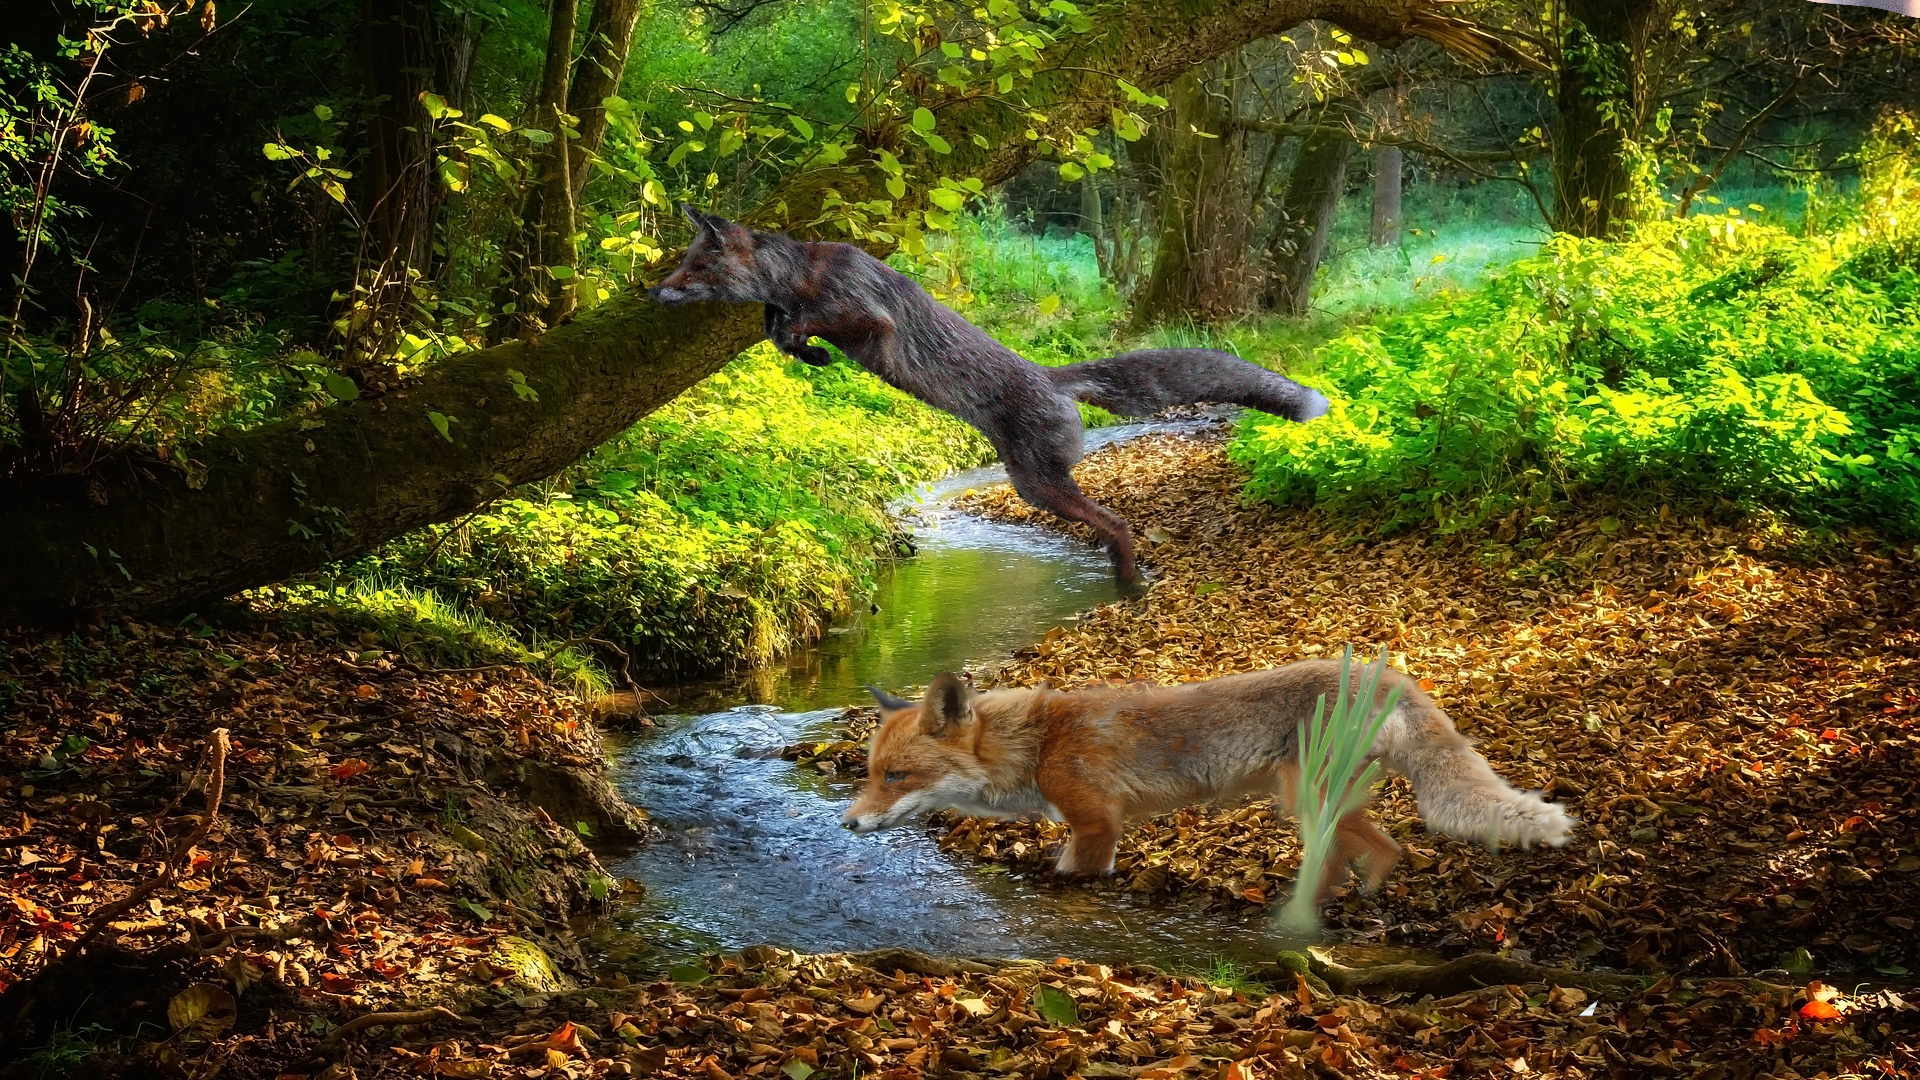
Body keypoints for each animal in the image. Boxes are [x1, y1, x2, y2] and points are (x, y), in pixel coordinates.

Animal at [650, 204, 1332, 588]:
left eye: (695, 268)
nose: (655, 293)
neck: (801, 276)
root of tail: (1052, 376)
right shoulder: (792, 310)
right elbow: (777, 328)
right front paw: (803, 351)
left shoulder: (866, 315)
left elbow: (806, 322)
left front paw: (806, 343)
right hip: (1034, 484)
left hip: (1041, 484)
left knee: (1115, 521)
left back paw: (1129, 577)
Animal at [841, 663, 1575, 900]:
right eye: (869, 774)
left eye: (896, 776)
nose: (846, 823)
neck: (1039, 745)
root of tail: (1388, 673)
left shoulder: (1097, 827)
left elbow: (1077, 874)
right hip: (1317, 800)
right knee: (1383, 850)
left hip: (1303, 798)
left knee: (1371, 851)